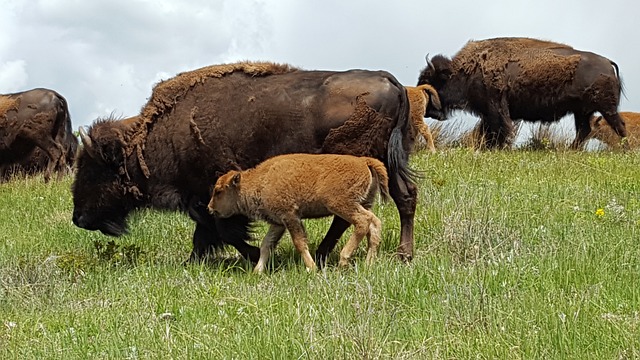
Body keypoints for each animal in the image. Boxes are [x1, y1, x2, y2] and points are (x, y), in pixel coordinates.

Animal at [209, 153, 390, 272]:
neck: (262, 180)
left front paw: (312, 268)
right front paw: (257, 272)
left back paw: (343, 260)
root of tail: (363, 161)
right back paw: (368, 263)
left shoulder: (290, 217)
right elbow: (266, 244)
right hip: (363, 203)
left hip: (341, 205)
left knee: (363, 222)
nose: (210, 208)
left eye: (218, 191)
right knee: (374, 223)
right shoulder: (278, 223)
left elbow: (299, 242)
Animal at [418, 37, 628, 149]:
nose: (427, 111)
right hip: (582, 111)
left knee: (618, 125)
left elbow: (500, 129)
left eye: (430, 81)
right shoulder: (488, 112)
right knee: (584, 130)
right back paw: (570, 150)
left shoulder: (496, 107)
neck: (466, 70)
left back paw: (626, 150)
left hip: (605, 108)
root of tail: (608, 62)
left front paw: (499, 148)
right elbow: (488, 131)